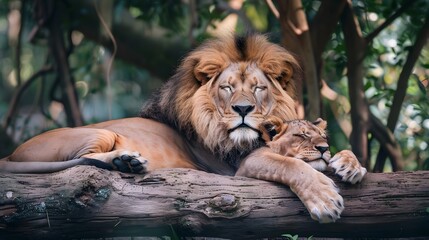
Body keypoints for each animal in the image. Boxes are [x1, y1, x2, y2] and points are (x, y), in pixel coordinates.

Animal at [0, 33, 342, 223]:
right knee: (85, 161)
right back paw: (127, 160)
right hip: (101, 132)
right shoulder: (235, 169)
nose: (243, 110)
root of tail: (11, 153)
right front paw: (325, 198)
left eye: (258, 89)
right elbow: (289, 165)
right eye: (227, 88)